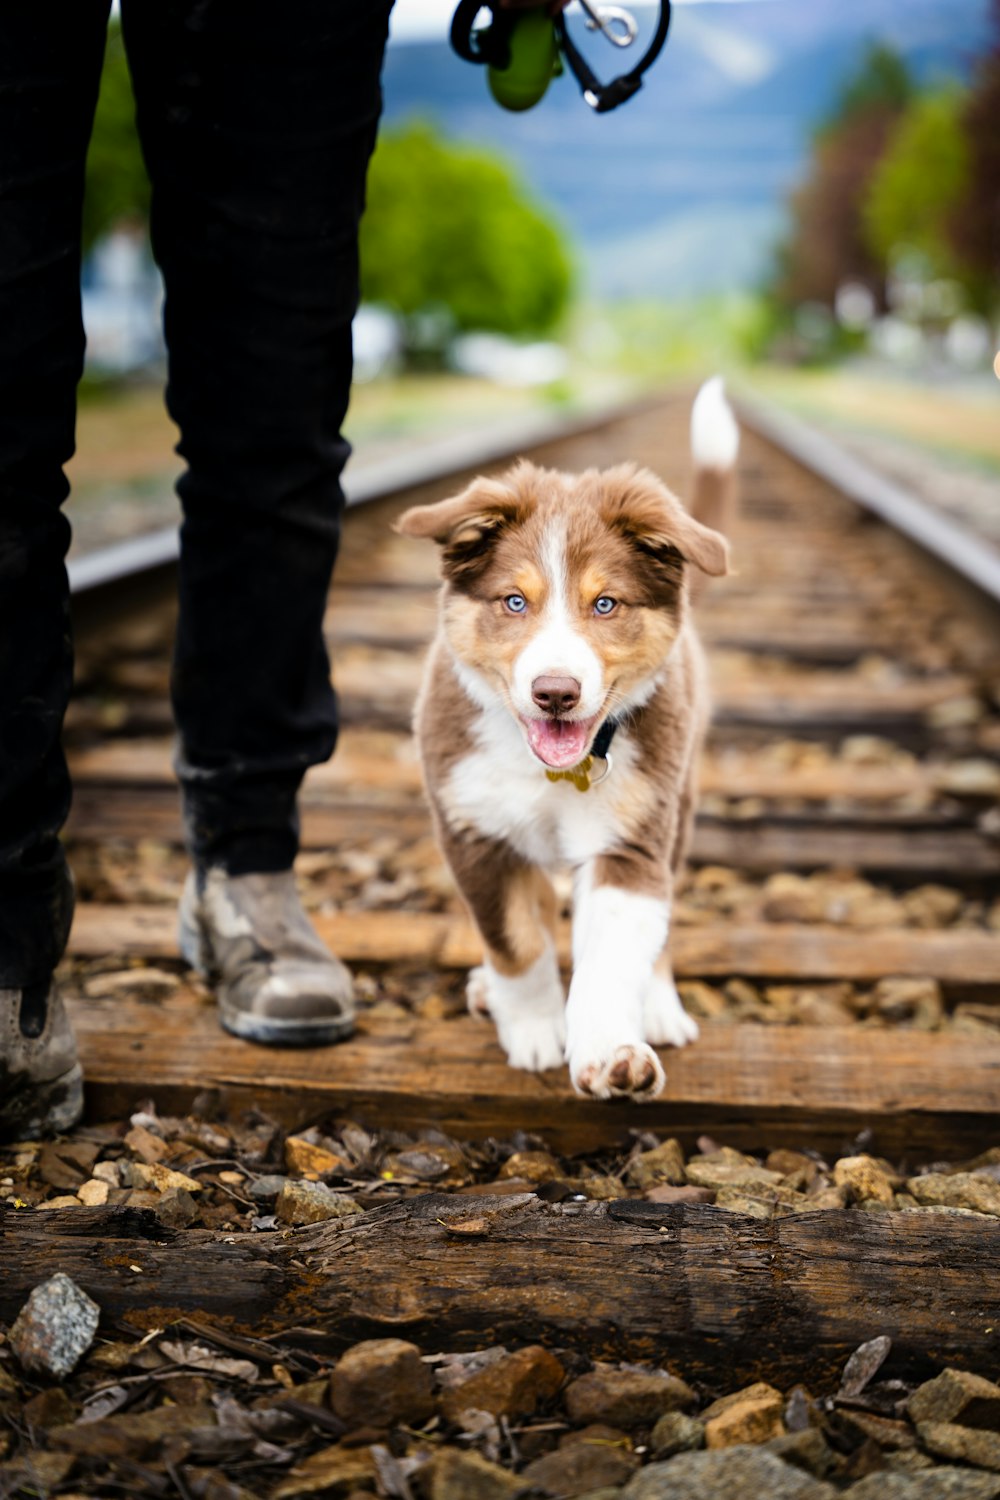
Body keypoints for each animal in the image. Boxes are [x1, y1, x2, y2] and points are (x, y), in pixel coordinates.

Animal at [395, 381, 734, 1098]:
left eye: (605, 604)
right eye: (514, 602)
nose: (556, 692)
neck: (551, 769)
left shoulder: (631, 841)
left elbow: (610, 958)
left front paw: (612, 1053)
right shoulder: (476, 832)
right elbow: (517, 942)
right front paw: (532, 1030)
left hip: (681, 799)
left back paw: (660, 1007)